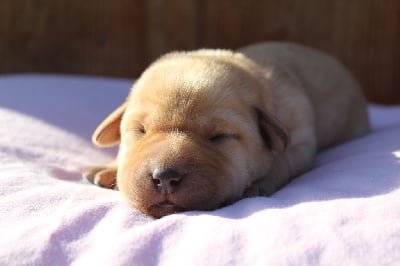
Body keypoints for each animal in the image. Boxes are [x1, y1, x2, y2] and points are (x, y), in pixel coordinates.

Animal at [83, 41, 370, 216]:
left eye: (218, 137)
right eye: (140, 130)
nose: (164, 177)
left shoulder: (301, 142)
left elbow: (282, 162)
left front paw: (260, 183)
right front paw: (107, 169)